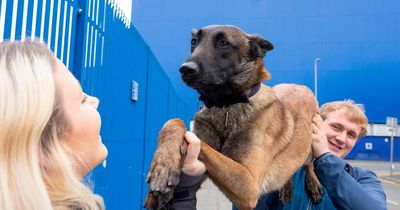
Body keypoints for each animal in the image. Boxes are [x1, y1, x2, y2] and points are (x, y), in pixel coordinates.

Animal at [144, 25, 322, 210]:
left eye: (224, 43)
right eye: (194, 42)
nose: (185, 69)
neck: (226, 107)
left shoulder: (248, 184)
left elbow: (198, 142)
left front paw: (162, 171)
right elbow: (175, 122)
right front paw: (162, 167)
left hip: (308, 144)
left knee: (308, 162)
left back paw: (313, 183)